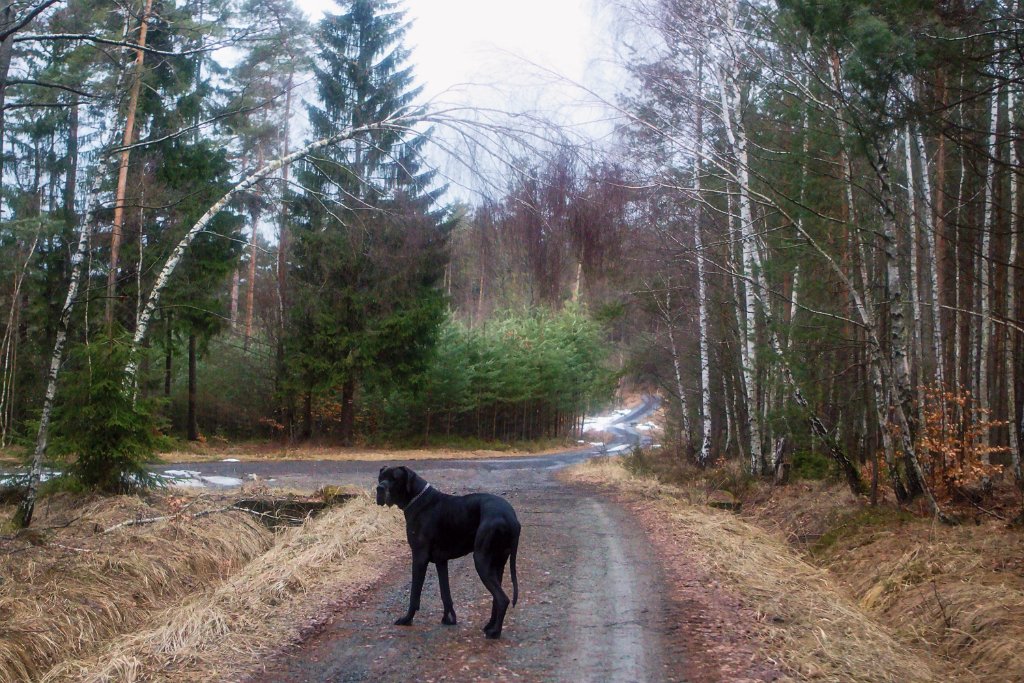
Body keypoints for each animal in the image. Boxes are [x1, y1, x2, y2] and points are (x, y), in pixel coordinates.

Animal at [376, 466, 520, 638]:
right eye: (380, 478)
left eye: (394, 479)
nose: (379, 488)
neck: (417, 500)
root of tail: (511, 517)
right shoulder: (441, 561)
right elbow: (445, 593)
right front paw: (449, 619)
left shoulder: (419, 557)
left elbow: (414, 594)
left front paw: (406, 619)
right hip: (498, 562)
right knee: (496, 597)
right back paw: (490, 625)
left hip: (481, 560)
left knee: (502, 598)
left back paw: (495, 632)